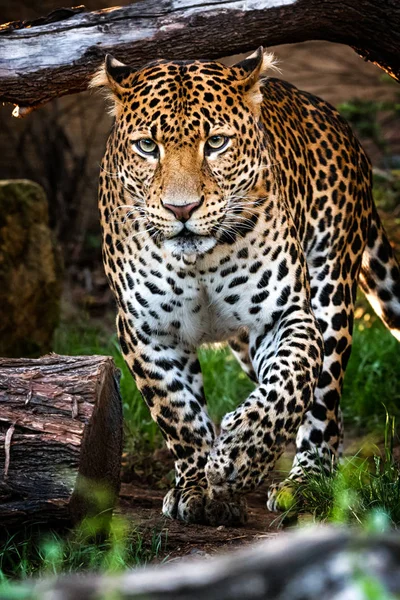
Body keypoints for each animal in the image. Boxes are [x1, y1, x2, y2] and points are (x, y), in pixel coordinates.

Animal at [90, 48, 400, 524]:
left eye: (216, 142)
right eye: (148, 147)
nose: (182, 209)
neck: (199, 261)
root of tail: (332, 116)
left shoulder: (283, 314)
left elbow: (289, 385)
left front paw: (238, 456)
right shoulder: (146, 332)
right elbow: (178, 412)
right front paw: (198, 485)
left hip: (331, 287)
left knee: (323, 400)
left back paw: (307, 482)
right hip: (243, 344)